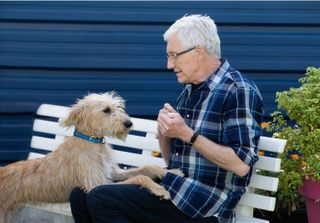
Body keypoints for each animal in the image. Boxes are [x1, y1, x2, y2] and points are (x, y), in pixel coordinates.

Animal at [0, 91, 181, 222]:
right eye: (106, 110)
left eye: (119, 107)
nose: (129, 123)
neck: (93, 142)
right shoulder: (97, 184)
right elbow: (140, 177)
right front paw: (159, 189)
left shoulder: (113, 173)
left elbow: (146, 168)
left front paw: (172, 173)